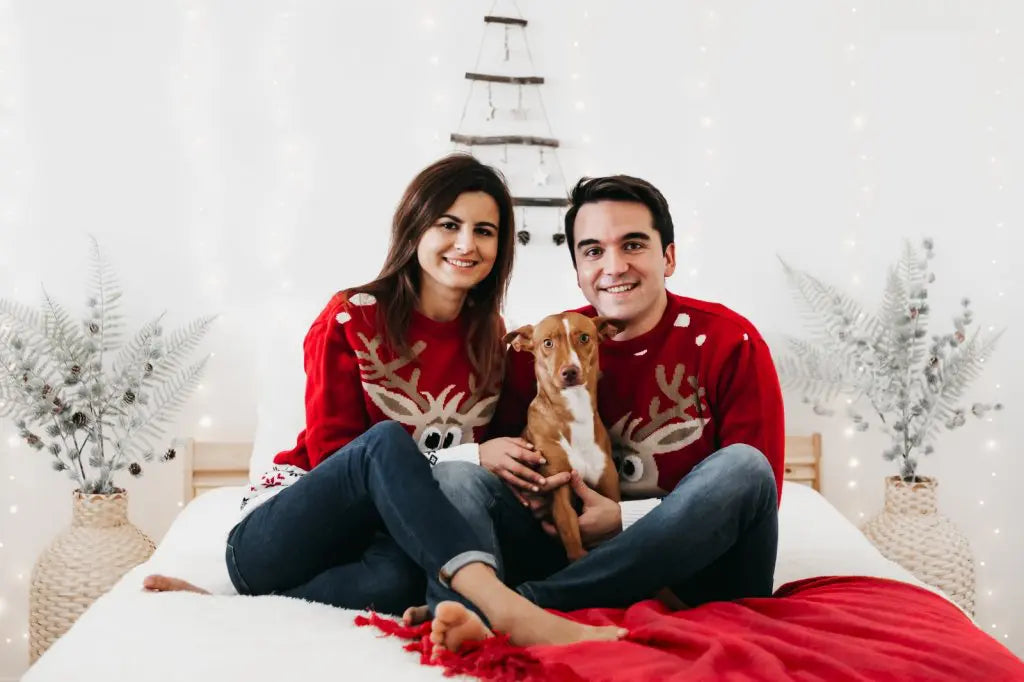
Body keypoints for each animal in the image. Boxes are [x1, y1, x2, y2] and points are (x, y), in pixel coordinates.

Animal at [503, 311, 622, 561]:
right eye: (547, 343)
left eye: (584, 337)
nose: (570, 372)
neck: (575, 413)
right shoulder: (559, 490)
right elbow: (574, 545)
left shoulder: (609, 488)